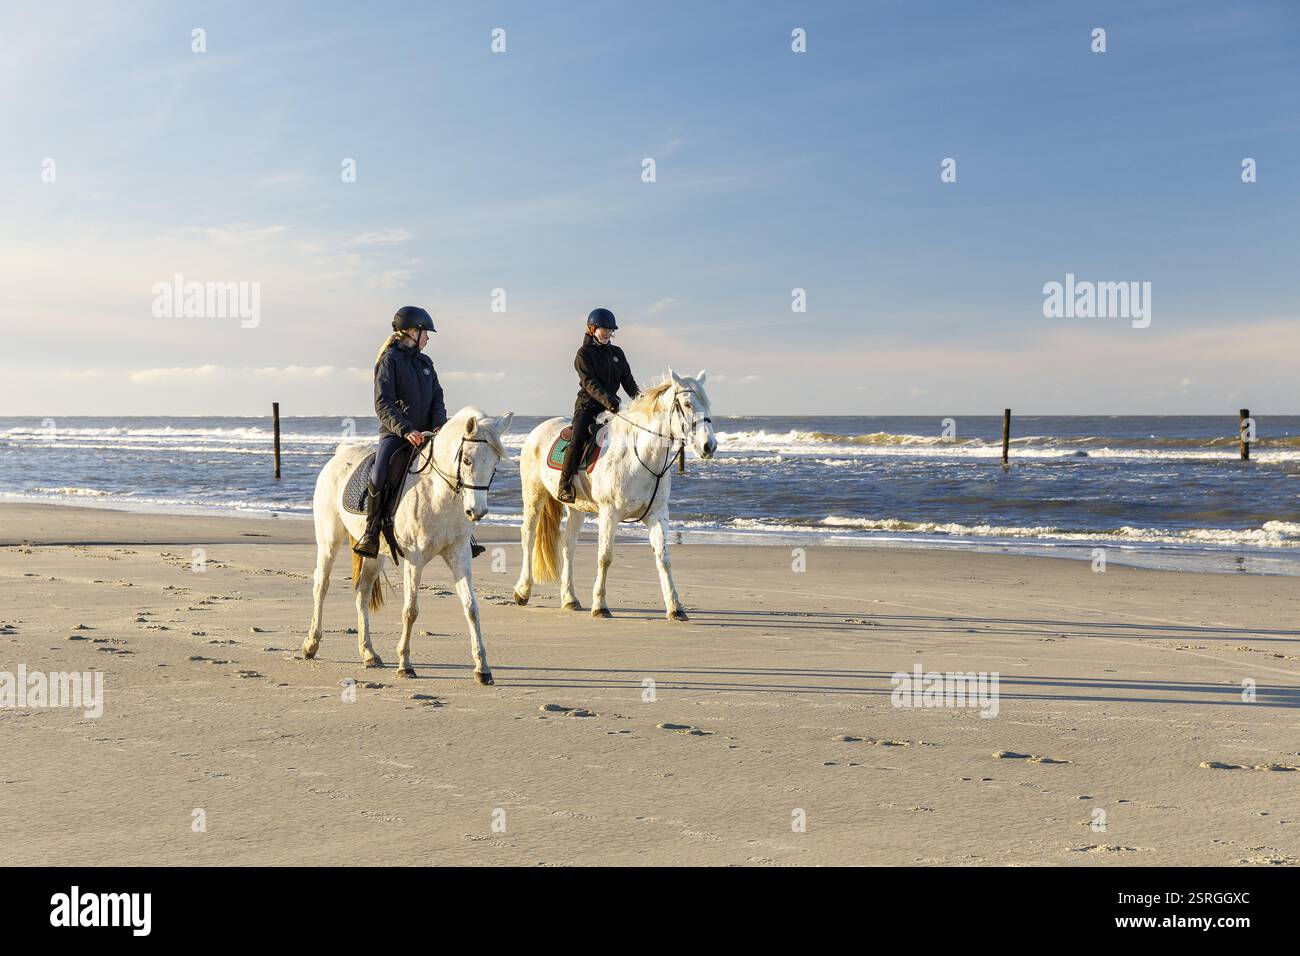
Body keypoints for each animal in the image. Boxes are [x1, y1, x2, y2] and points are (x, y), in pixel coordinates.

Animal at [302, 406, 514, 684]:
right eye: (467, 460)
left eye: (495, 464)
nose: (476, 512)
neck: (439, 494)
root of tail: (340, 454)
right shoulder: (415, 558)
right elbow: (410, 610)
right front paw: (405, 664)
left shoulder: (459, 554)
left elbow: (472, 608)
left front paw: (483, 669)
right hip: (329, 539)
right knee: (321, 586)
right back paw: (311, 644)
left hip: (375, 555)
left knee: (362, 593)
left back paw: (369, 653)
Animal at [513, 369, 716, 620]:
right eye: (687, 404)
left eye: (707, 404)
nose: (709, 446)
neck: (641, 457)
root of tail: (539, 428)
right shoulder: (610, 513)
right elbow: (605, 557)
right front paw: (600, 606)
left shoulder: (658, 515)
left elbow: (664, 559)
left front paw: (675, 607)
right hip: (533, 495)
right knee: (528, 536)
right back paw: (522, 590)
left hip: (576, 508)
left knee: (568, 545)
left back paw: (569, 598)